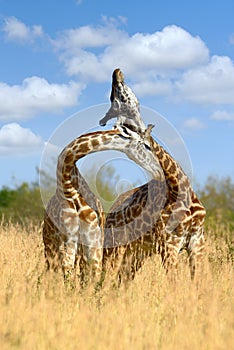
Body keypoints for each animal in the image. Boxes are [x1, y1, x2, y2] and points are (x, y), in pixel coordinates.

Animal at [42, 125, 164, 284]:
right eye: (147, 146)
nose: (161, 172)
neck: (69, 186)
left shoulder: (93, 239)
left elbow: (93, 274)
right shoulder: (68, 238)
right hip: (50, 244)